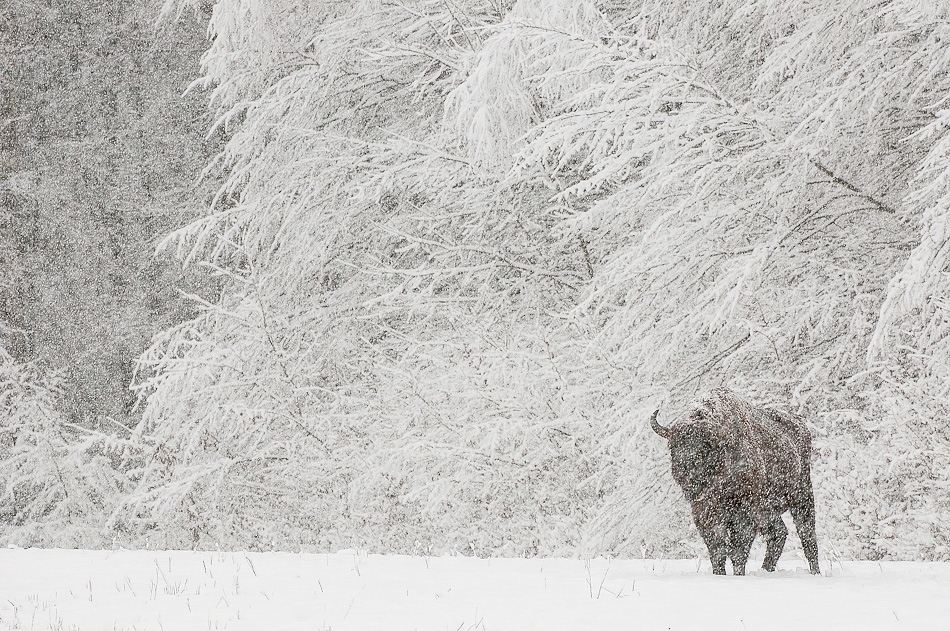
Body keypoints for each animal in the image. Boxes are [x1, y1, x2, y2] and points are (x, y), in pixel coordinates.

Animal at [650, 387, 820, 575]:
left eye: (705, 445)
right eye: (673, 445)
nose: (685, 468)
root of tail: (801, 425)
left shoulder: (744, 512)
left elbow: (738, 549)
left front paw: (738, 574)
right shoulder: (704, 513)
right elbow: (717, 549)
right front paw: (719, 574)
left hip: (802, 496)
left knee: (807, 536)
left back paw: (815, 572)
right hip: (768, 511)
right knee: (778, 534)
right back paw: (765, 569)